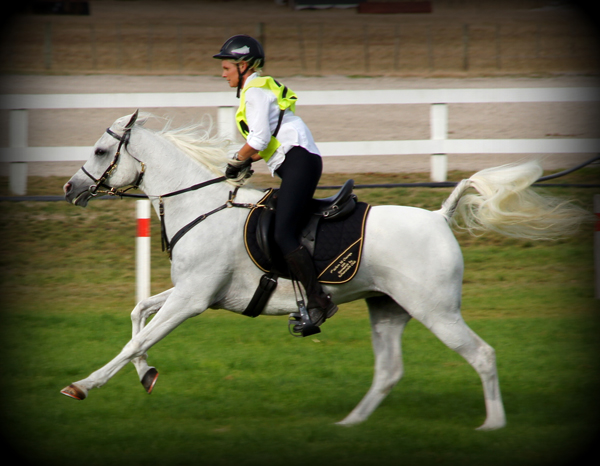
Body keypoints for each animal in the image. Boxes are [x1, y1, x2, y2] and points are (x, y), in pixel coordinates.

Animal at [59, 110, 584, 430]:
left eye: (101, 152)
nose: (69, 189)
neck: (202, 206)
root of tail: (439, 216)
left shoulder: (192, 300)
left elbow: (135, 340)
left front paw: (84, 385)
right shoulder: (191, 293)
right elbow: (137, 313)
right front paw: (147, 376)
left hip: (438, 313)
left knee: (482, 355)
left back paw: (492, 425)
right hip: (387, 310)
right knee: (389, 371)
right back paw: (350, 425)